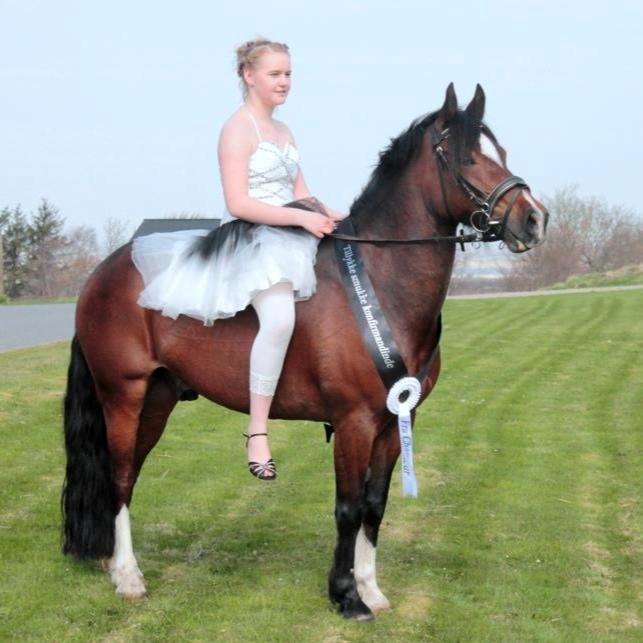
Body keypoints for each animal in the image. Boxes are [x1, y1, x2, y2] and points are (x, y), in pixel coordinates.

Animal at [62, 84, 547, 621]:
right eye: (468, 158)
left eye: (501, 154)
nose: (534, 218)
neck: (380, 280)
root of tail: (101, 274)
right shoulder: (354, 422)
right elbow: (348, 508)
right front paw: (346, 596)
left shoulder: (397, 420)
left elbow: (375, 504)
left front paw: (371, 588)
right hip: (123, 396)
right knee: (120, 476)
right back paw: (129, 577)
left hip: (158, 399)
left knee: (126, 477)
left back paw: (114, 565)